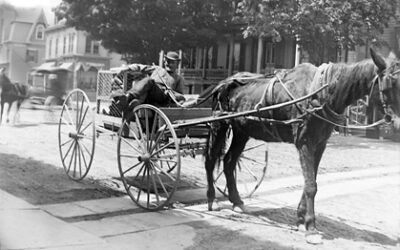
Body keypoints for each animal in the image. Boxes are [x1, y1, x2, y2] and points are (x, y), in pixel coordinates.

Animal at [205, 47, 400, 243]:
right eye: (388, 86)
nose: (397, 124)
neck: (320, 94)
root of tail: (224, 83)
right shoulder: (305, 142)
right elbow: (311, 185)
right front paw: (311, 227)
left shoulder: (320, 144)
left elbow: (310, 181)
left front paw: (301, 220)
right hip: (219, 124)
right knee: (211, 160)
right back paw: (211, 198)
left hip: (242, 131)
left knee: (229, 162)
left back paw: (237, 201)